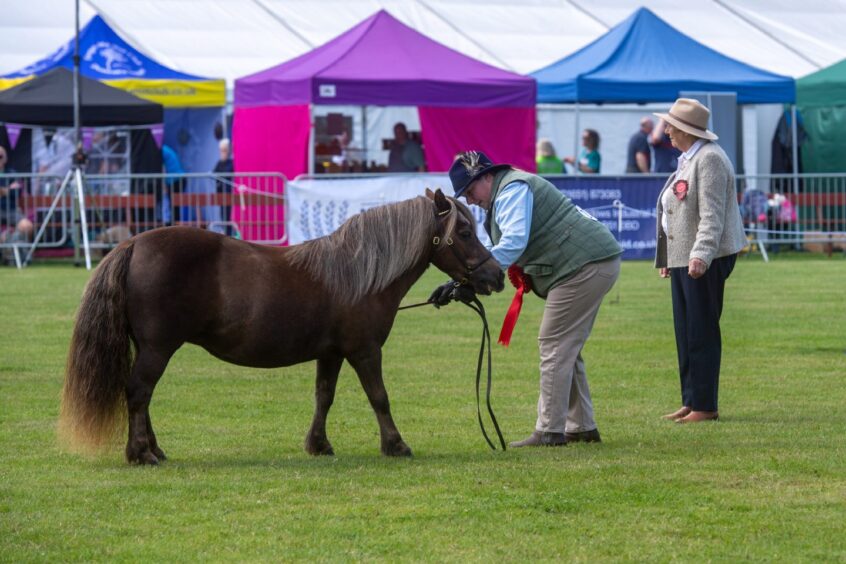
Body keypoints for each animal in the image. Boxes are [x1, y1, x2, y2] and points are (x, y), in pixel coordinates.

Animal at [63, 189, 506, 462]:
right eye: (463, 231)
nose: (496, 276)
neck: (359, 272)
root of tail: (132, 243)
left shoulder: (332, 354)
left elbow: (323, 397)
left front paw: (318, 445)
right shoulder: (364, 351)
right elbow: (379, 398)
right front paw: (395, 445)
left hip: (150, 349)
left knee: (143, 396)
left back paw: (153, 449)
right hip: (158, 348)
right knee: (138, 393)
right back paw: (142, 453)